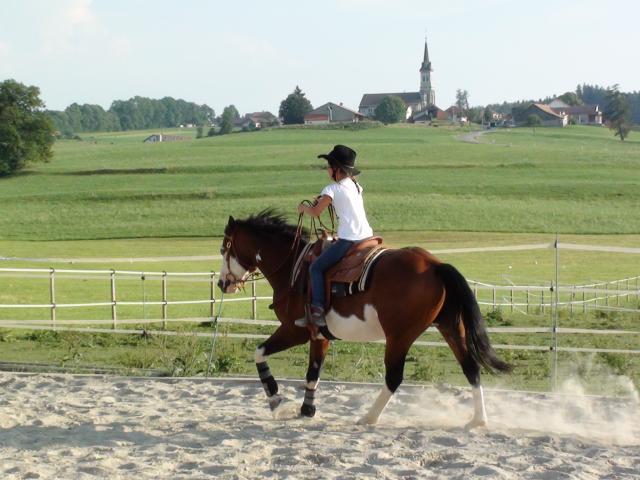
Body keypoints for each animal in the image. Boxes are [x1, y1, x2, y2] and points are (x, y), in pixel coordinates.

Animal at [217, 210, 511, 427]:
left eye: (224, 248)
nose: (222, 283)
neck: (294, 267)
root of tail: (435, 265)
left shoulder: (294, 330)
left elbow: (259, 352)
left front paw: (275, 399)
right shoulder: (319, 336)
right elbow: (313, 373)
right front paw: (307, 410)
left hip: (399, 336)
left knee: (394, 377)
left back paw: (368, 417)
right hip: (450, 326)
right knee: (471, 368)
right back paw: (478, 421)